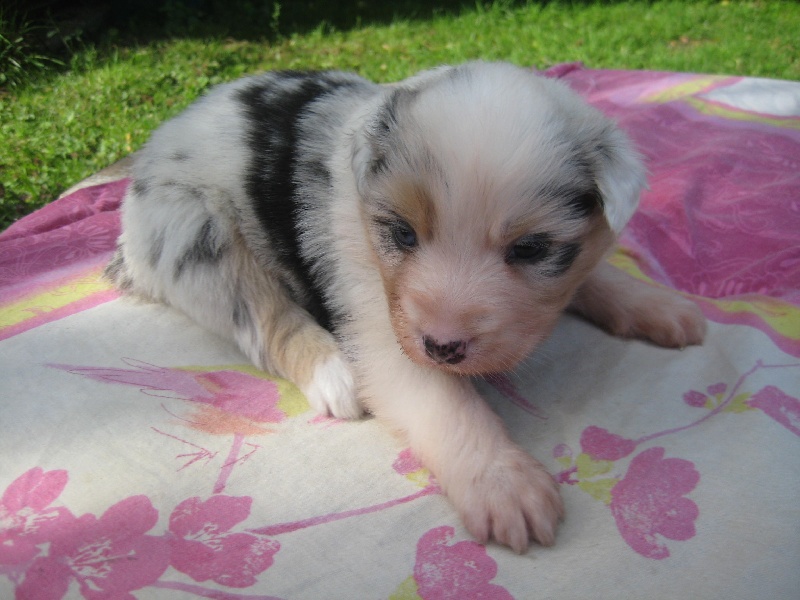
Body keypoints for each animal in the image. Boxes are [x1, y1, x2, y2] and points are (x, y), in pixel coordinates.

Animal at [106, 61, 706, 553]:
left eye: (531, 249)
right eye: (402, 233)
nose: (442, 346)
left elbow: (594, 276)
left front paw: (661, 305)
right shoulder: (380, 328)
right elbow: (445, 403)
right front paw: (503, 482)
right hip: (197, 235)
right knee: (266, 317)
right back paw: (333, 373)